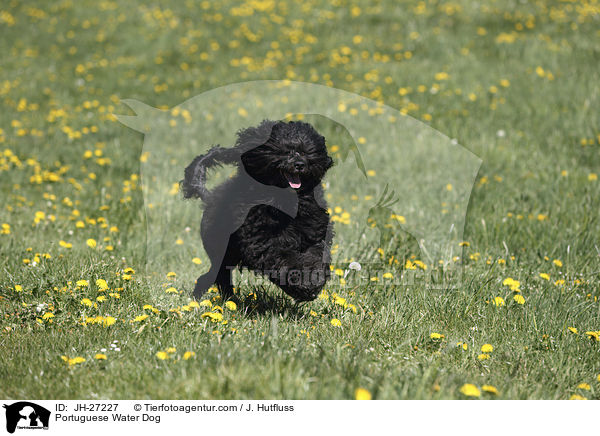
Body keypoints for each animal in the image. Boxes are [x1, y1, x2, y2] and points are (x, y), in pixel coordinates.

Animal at [180, 120, 336, 304]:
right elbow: (284, 259)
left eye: (305, 152)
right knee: (216, 276)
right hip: (220, 250)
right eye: (285, 151)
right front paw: (301, 285)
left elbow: (315, 256)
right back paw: (217, 300)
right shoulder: (262, 243)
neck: (285, 203)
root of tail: (209, 198)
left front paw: (312, 282)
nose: (300, 165)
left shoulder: (313, 235)